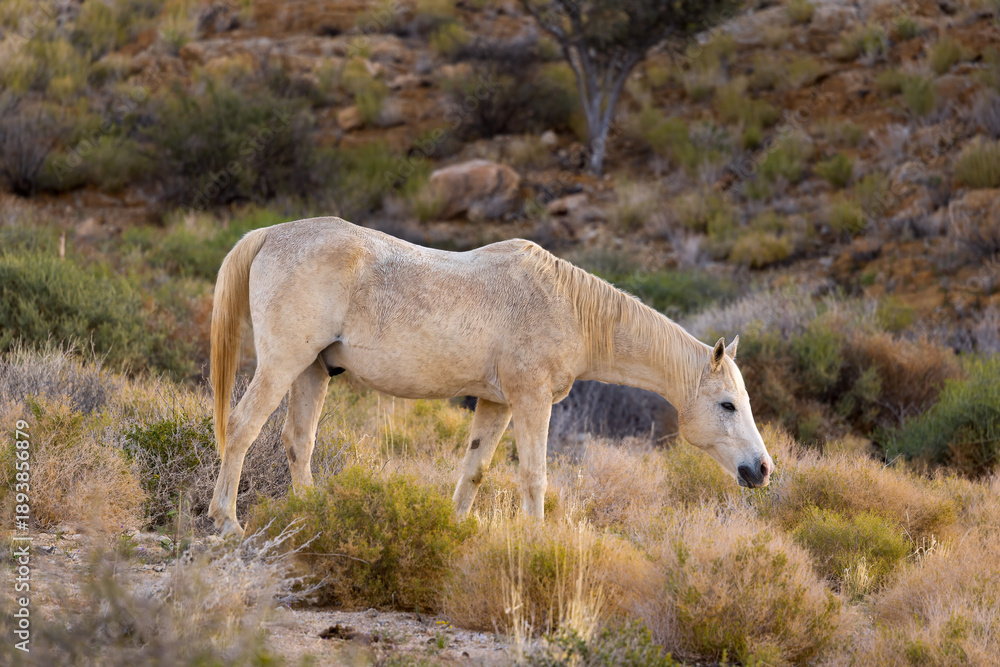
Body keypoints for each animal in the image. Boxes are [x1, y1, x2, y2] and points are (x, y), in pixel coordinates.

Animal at [208, 217, 773, 536]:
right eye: (727, 404)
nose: (762, 470)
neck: (566, 306)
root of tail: (270, 235)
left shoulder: (497, 403)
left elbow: (473, 471)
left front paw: (455, 530)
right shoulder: (531, 400)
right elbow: (534, 475)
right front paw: (537, 541)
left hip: (313, 370)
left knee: (297, 440)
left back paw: (312, 515)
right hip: (283, 363)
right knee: (242, 428)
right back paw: (226, 521)